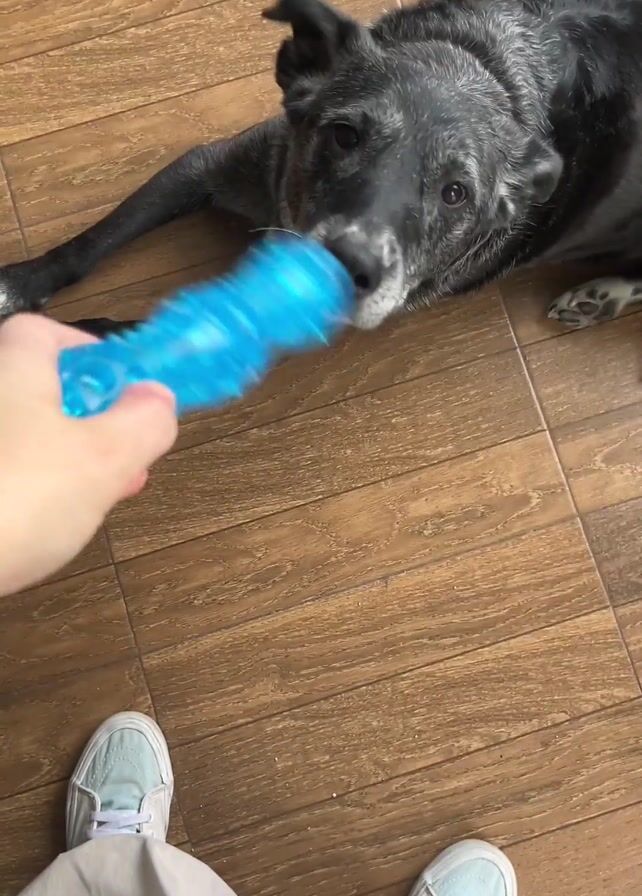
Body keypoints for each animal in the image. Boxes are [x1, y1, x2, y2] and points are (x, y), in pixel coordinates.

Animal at [1, 0, 642, 335]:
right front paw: (21, 285)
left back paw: (602, 296)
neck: (476, 61)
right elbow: (92, 243)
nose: (347, 267)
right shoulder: (209, 165)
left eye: (456, 193)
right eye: (343, 135)